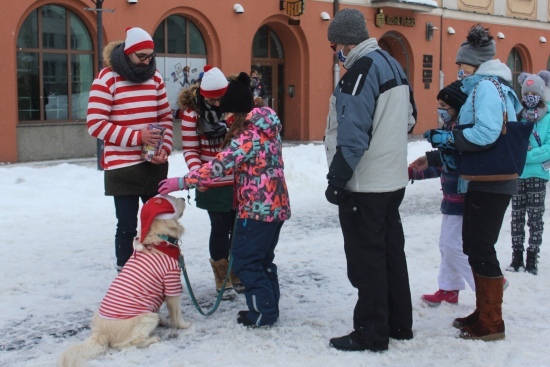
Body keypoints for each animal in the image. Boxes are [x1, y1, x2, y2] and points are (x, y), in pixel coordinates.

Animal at [59, 196, 191, 367]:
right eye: (174, 201)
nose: (183, 197)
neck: (160, 239)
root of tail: (100, 333)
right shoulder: (171, 282)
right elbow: (177, 313)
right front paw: (184, 326)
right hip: (147, 317)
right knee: (124, 344)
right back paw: (152, 339)